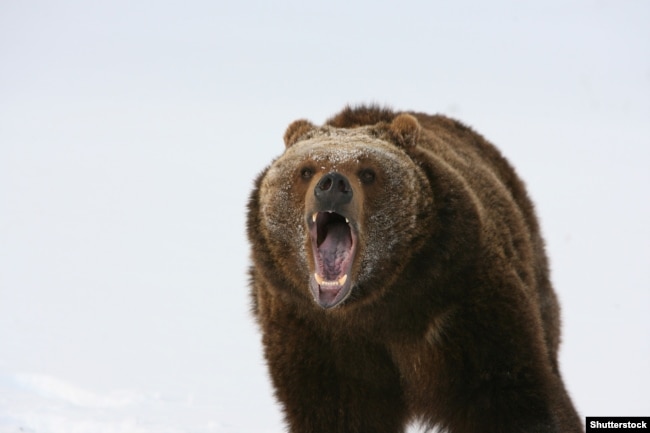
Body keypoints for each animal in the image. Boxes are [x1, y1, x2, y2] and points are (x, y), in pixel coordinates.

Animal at [247, 105, 582, 433]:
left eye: (368, 172)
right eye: (305, 170)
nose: (332, 184)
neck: (373, 304)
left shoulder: (461, 299)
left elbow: (511, 395)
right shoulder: (315, 336)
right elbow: (339, 413)